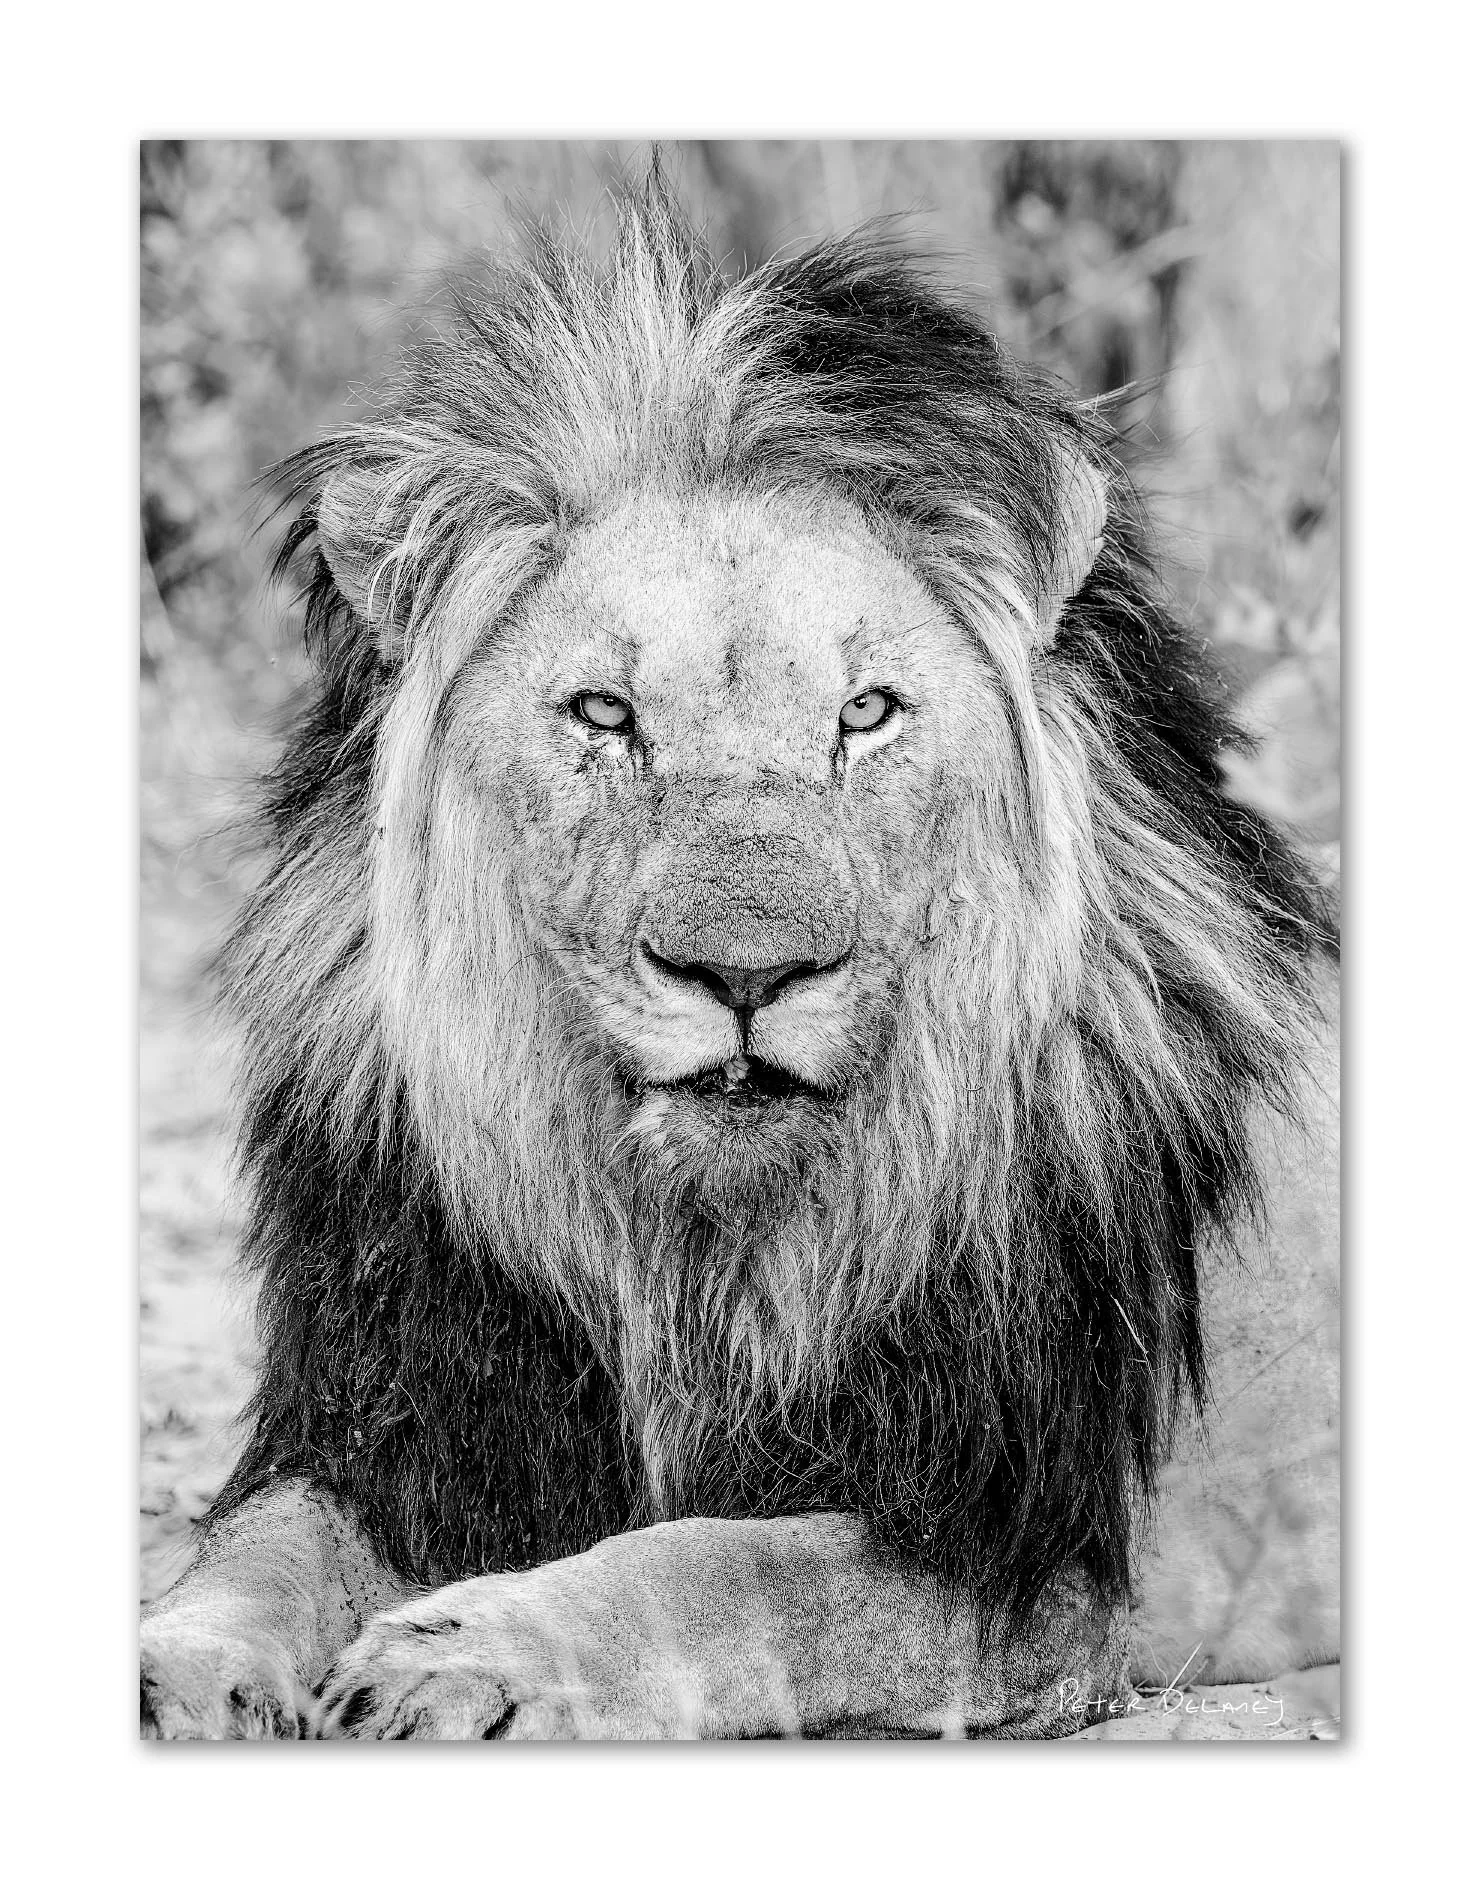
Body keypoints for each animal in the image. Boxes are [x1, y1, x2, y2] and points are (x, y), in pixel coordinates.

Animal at [140, 178, 1338, 1740]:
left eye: (867, 713)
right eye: (603, 714)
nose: (749, 978)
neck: (696, 1258)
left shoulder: (1032, 1552)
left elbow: (726, 1565)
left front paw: (474, 1648)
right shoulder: (405, 1415)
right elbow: (255, 1546)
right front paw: (175, 1664)